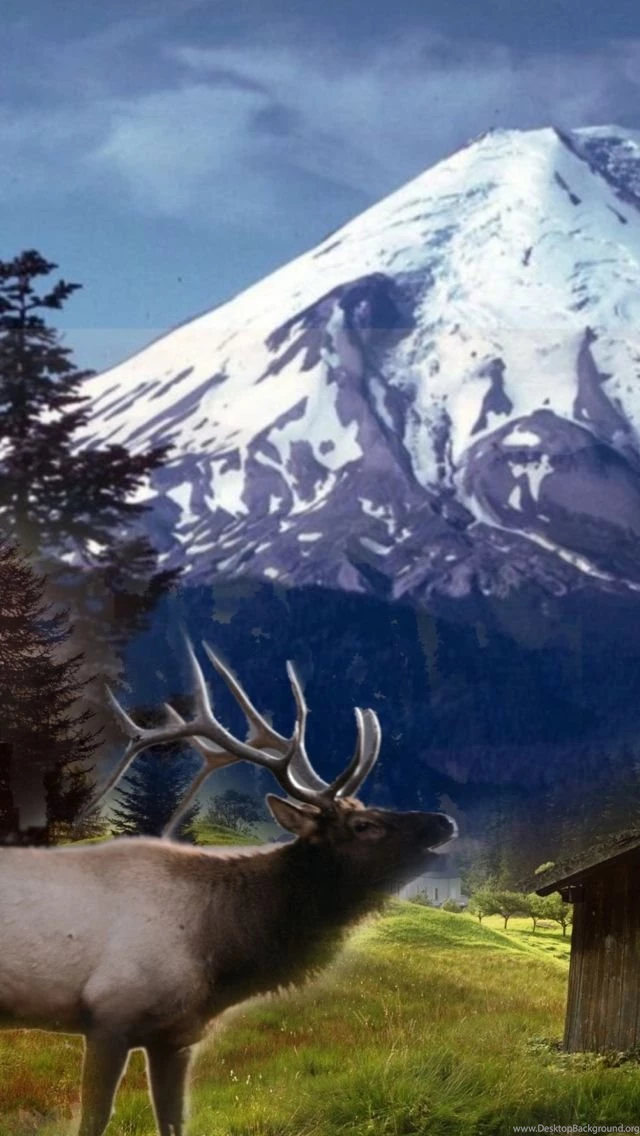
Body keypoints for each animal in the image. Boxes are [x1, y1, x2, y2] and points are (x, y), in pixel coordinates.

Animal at [0, 640, 457, 1136]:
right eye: (363, 825)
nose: (444, 821)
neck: (219, 953)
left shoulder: (176, 1036)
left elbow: (174, 1121)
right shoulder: (108, 1016)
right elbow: (95, 1120)